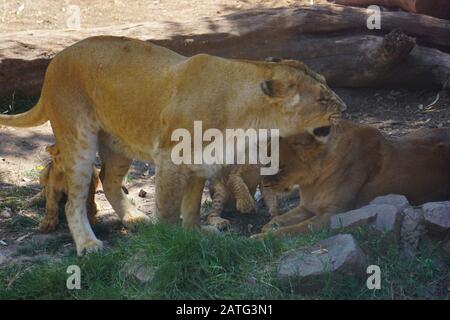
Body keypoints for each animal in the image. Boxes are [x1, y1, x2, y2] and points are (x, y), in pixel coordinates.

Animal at [0, 36, 344, 254]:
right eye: (322, 99)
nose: (344, 108)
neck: (250, 118)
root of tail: (55, 61)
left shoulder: (201, 163)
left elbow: (191, 208)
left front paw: (196, 236)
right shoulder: (169, 159)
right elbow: (168, 209)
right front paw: (166, 244)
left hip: (119, 144)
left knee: (109, 180)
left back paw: (133, 218)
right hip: (79, 140)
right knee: (74, 200)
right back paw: (88, 244)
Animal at [258, 121, 450, 236]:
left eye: (279, 166)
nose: (264, 185)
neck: (312, 181)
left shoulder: (334, 215)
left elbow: (291, 230)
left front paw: (261, 237)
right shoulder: (307, 206)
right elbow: (280, 219)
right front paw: (267, 226)